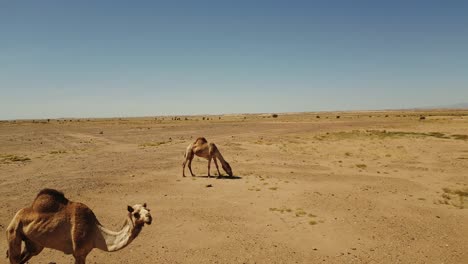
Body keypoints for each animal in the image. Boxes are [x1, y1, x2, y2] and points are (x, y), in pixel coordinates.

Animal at [5, 189, 152, 262]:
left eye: (148, 210)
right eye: (136, 214)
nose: (149, 218)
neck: (96, 233)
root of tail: (19, 213)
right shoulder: (79, 252)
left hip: (35, 244)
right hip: (13, 231)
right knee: (14, 258)